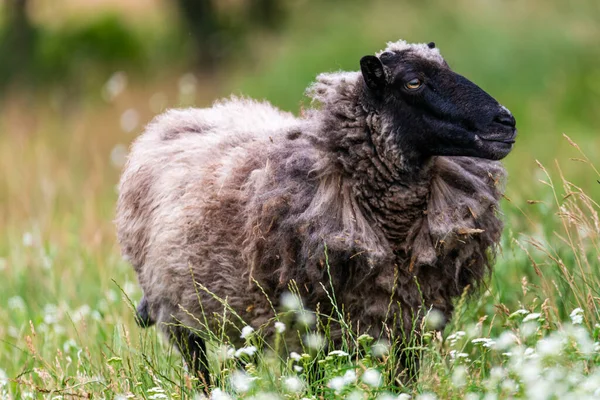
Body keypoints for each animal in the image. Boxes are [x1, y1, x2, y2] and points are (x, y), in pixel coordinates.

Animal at [116, 39, 516, 382]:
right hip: (177, 312)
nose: (506, 122)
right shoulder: (306, 331)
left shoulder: (408, 318)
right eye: (413, 82)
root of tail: (175, 119)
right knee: (199, 369)